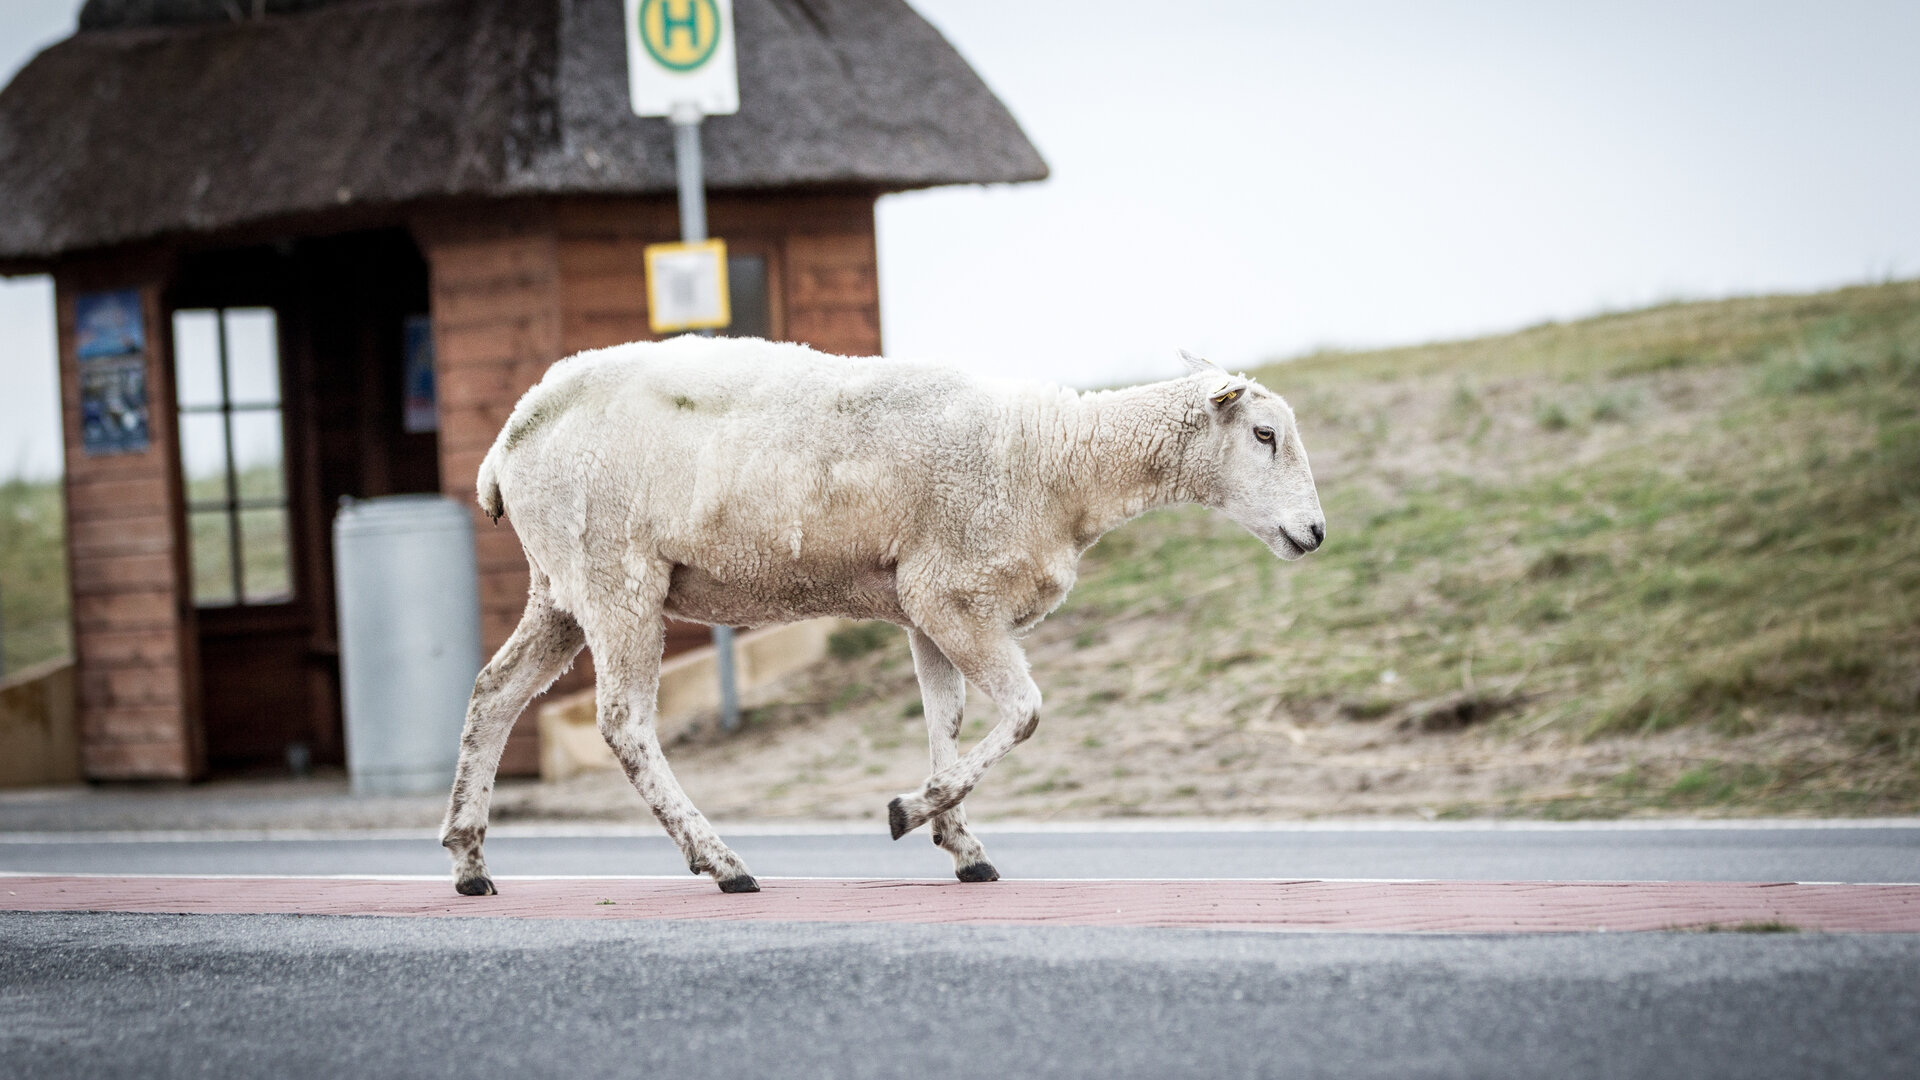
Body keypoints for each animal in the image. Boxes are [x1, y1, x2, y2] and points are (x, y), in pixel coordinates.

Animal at [441, 336, 1328, 891]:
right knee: (624, 724)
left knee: (493, 693)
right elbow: (1026, 712)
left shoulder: (928, 608)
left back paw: (469, 860)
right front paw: (911, 812)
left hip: (560, 586)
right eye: (1263, 434)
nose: (1316, 533)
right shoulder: (953, 592)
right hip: (615, 575)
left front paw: (960, 843)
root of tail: (510, 437)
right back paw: (723, 864)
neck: (1056, 461)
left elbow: (948, 723)